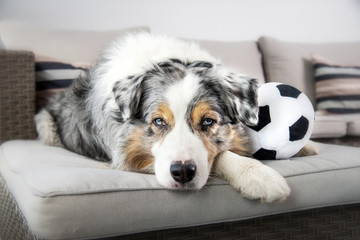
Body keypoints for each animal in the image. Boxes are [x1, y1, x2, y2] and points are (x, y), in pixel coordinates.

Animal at [35, 32, 296, 202]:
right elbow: (222, 155)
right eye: (158, 121)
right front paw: (261, 178)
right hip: (45, 124)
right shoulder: (127, 157)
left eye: (208, 121)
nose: (183, 172)